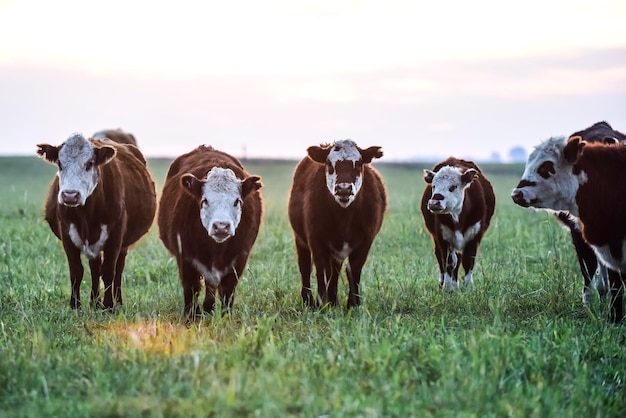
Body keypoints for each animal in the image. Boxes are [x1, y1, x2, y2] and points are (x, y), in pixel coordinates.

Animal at [36, 132, 157, 308]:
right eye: (60, 163)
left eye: (89, 164)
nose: (70, 195)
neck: (86, 215)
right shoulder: (67, 234)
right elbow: (77, 271)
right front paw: (75, 305)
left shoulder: (115, 236)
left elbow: (108, 271)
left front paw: (109, 305)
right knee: (95, 268)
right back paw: (94, 302)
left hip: (123, 244)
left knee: (118, 269)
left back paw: (117, 301)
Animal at [158, 145, 264, 320]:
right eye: (205, 200)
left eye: (237, 201)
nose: (221, 226)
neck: (216, 249)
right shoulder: (185, 259)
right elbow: (191, 290)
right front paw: (191, 318)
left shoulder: (239, 259)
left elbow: (227, 293)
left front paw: (225, 318)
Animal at [286, 139, 386, 308]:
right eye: (329, 163)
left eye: (358, 163)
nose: (343, 188)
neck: (344, 217)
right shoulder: (316, 240)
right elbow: (321, 270)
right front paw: (320, 303)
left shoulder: (366, 240)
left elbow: (353, 270)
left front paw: (354, 304)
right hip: (300, 239)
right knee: (305, 267)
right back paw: (309, 300)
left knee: (335, 270)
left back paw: (333, 300)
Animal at [420, 157, 492, 290]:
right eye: (433, 186)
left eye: (453, 187)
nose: (434, 203)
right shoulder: (443, 238)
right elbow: (448, 261)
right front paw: (447, 287)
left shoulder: (475, 236)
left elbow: (468, 260)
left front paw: (468, 287)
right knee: (443, 258)